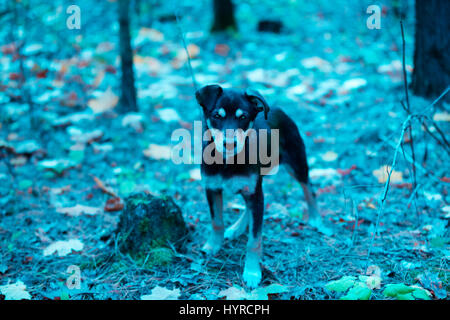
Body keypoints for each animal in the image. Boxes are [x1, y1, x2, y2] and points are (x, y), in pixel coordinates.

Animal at [195, 83, 326, 288]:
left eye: (243, 117)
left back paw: (315, 218)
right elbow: (217, 222)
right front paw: (212, 245)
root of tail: (279, 109)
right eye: (217, 116)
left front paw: (251, 272)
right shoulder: (212, 188)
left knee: (308, 188)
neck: (227, 162)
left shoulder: (255, 192)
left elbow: (254, 240)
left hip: (296, 162)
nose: (230, 144)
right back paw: (236, 228)